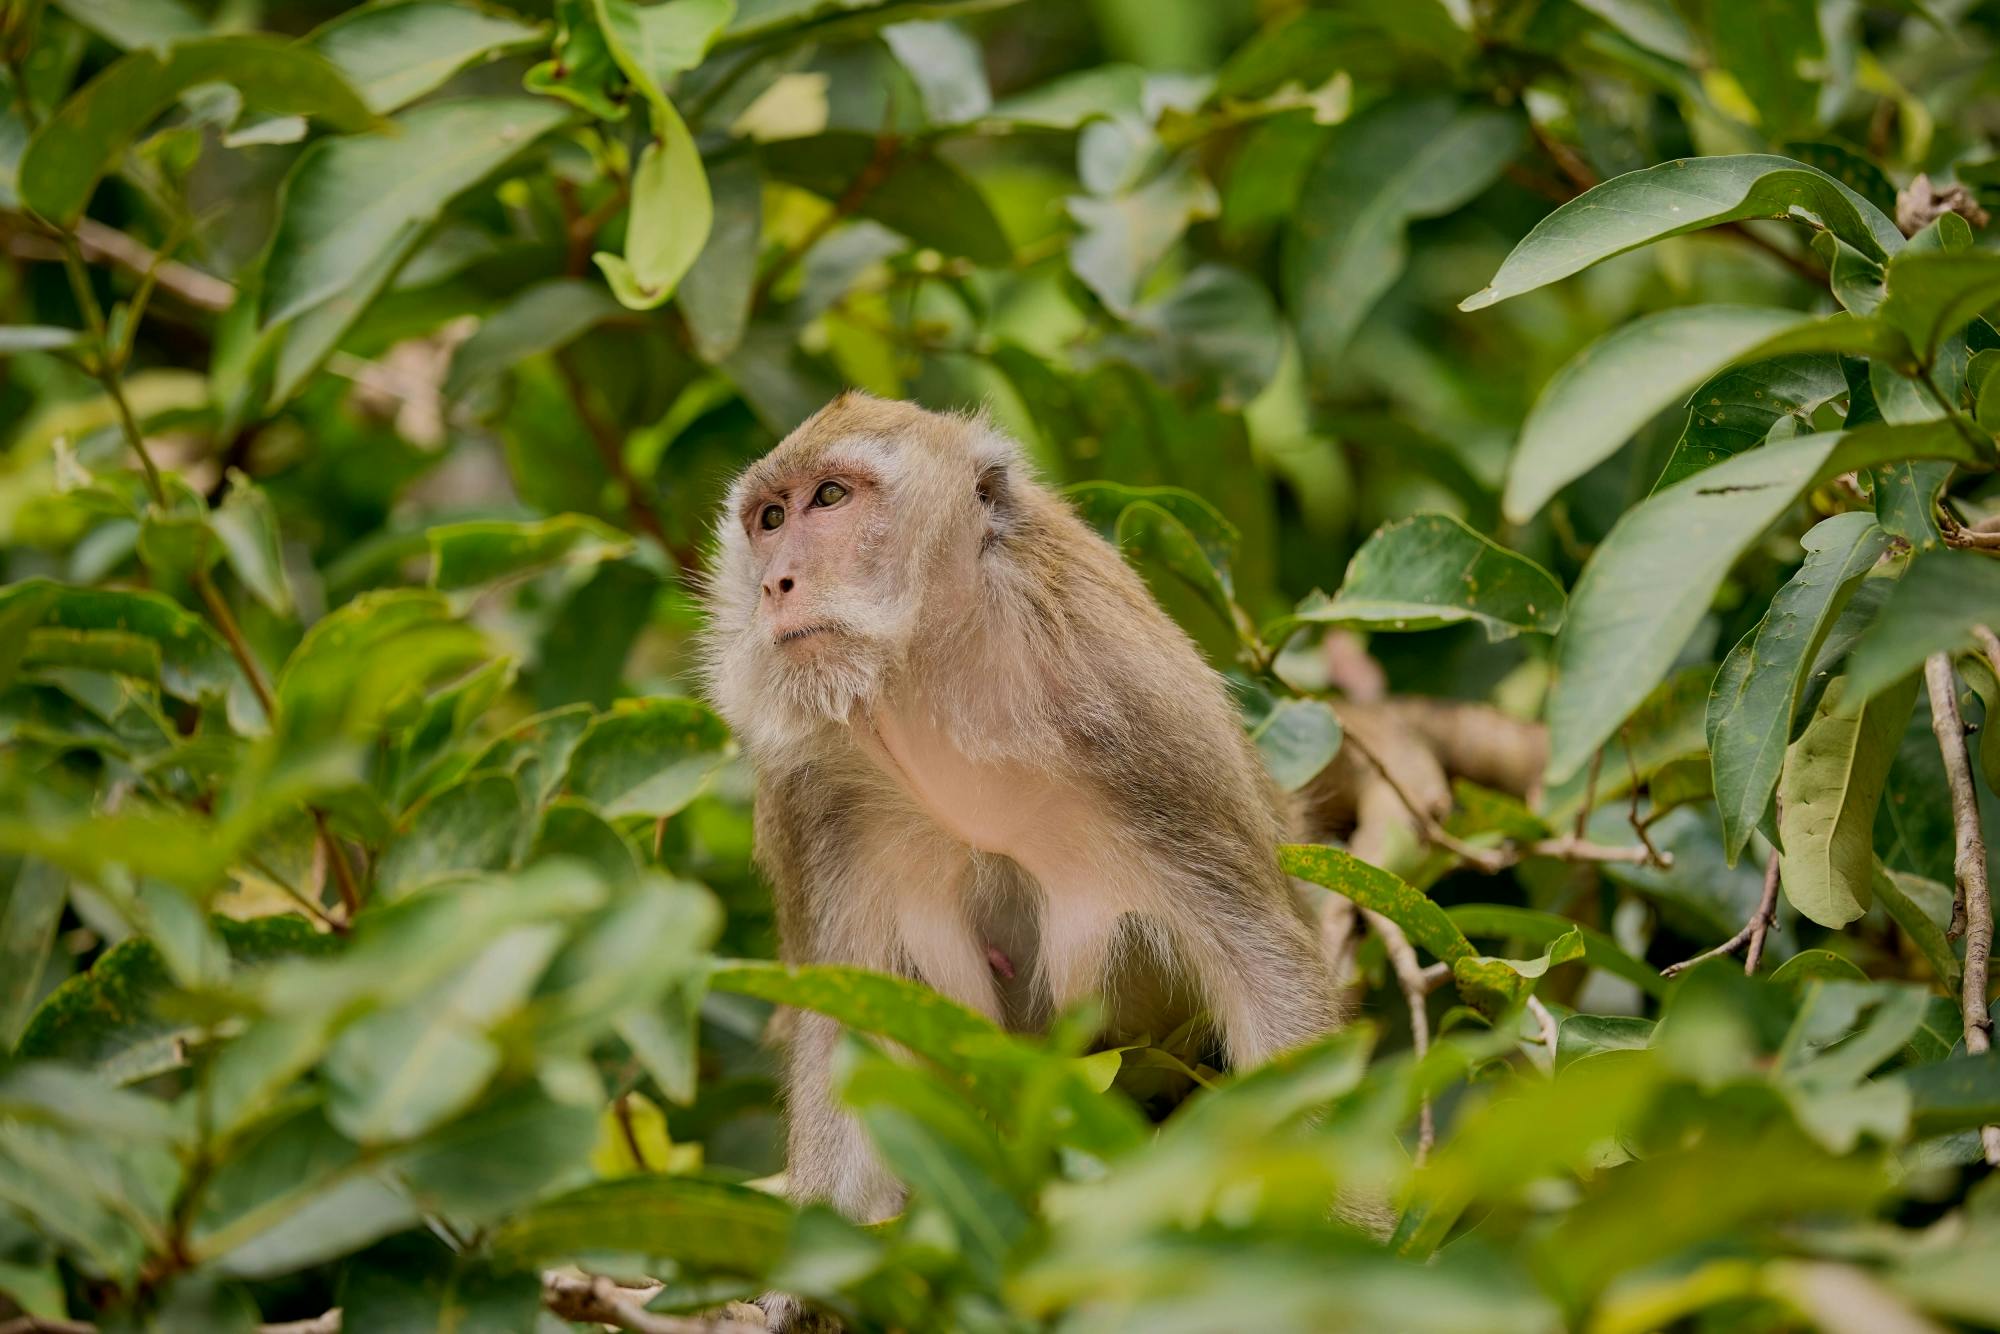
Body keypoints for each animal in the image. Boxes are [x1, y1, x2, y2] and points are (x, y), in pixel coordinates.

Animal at [704, 394, 1344, 1232]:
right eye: (771, 518)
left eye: (831, 498)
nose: (775, 584)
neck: (941, 695)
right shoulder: (805, 798)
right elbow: (841, 1028)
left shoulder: (1138, 716)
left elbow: (1271, 979)